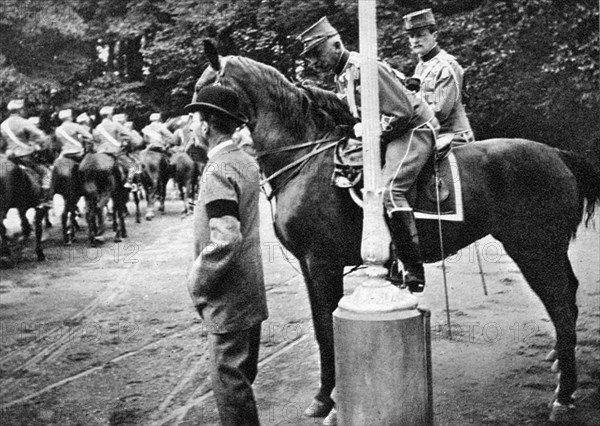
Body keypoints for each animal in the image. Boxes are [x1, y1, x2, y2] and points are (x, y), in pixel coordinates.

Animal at [196, 45, 600, 422]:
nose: (198, 142)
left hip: (535, 251)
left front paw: (331, 402)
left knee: (561, 308)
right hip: (549, 251)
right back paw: (560, 364)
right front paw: (324, 397)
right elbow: (319, 328)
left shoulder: (322, 263)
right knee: (569, 298)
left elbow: (326, 328)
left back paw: (563, 395)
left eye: (204, 89)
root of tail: (558, 154)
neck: (306, 160)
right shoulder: (310, 268)